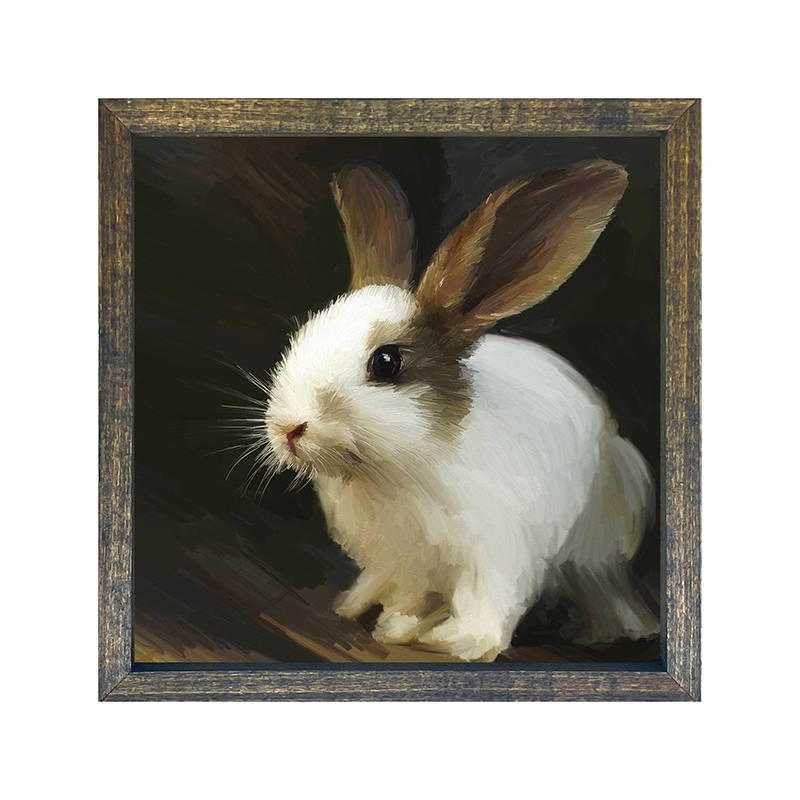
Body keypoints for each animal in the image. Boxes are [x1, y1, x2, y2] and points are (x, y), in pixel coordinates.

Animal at [260, 159, 659, 661]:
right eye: (303, 332)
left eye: (386, 363)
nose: (288, 428)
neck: (394, 470)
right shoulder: (402, 562)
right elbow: (408, 596)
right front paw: (394, 627)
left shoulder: (498, 554)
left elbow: (487, 607)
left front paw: (455, 642)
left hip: (600, 545)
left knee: (603, 588)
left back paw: (614, 633)